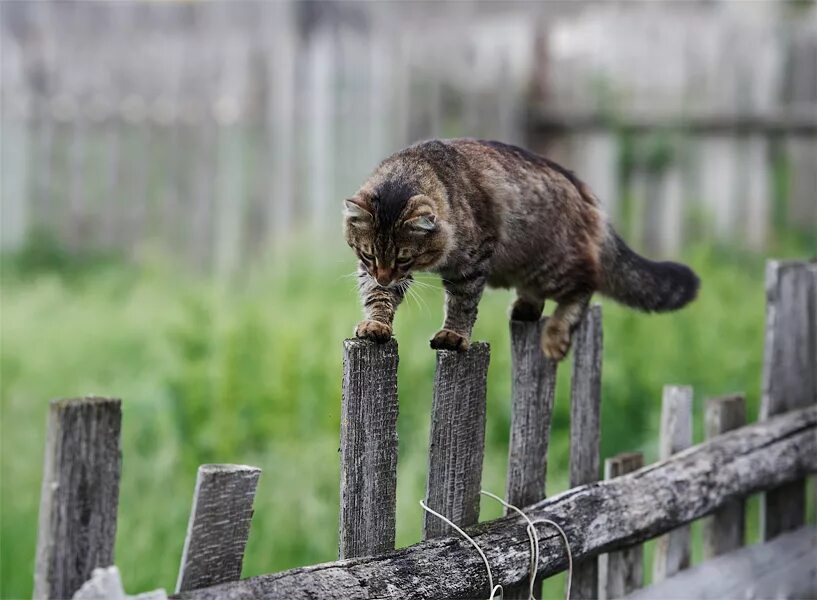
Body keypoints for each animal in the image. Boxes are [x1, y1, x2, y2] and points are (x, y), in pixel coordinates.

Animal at [342, 138, 700, 358]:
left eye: (405, 258)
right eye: (369, 255)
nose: (385, 276)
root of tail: (585, 193)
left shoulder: (471, 264)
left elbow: (461, 304)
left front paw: (454, 335)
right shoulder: (374, 273)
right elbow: (378, 299)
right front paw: (376, 324)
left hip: (553, 267)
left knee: (586, 285)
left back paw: (555, 334)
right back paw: (526, 308)